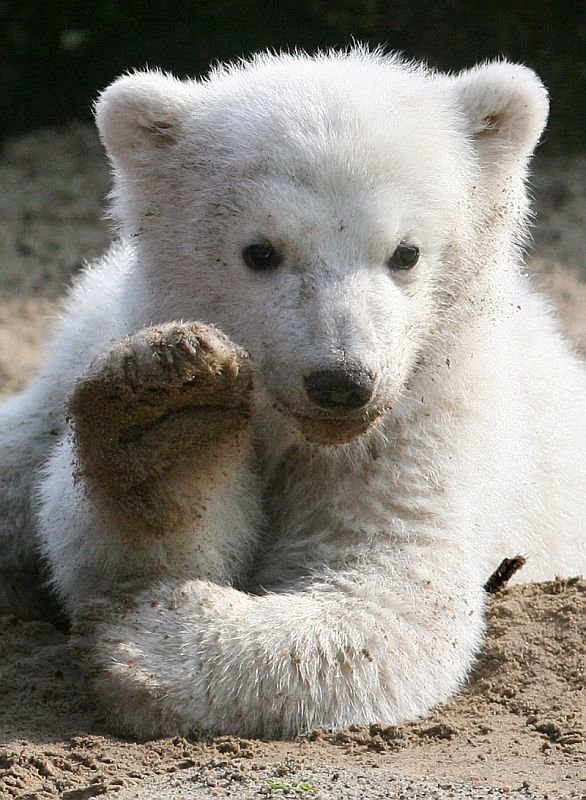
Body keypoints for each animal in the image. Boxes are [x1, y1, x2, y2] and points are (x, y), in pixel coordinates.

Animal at [0, 49, 584, 739]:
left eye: (406, 252)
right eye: (260, 252)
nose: (341, 382)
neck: (301, 434)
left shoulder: (424, 427)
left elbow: (394, 595)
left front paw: (142, 635)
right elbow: (99, 541)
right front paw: (165, 422)